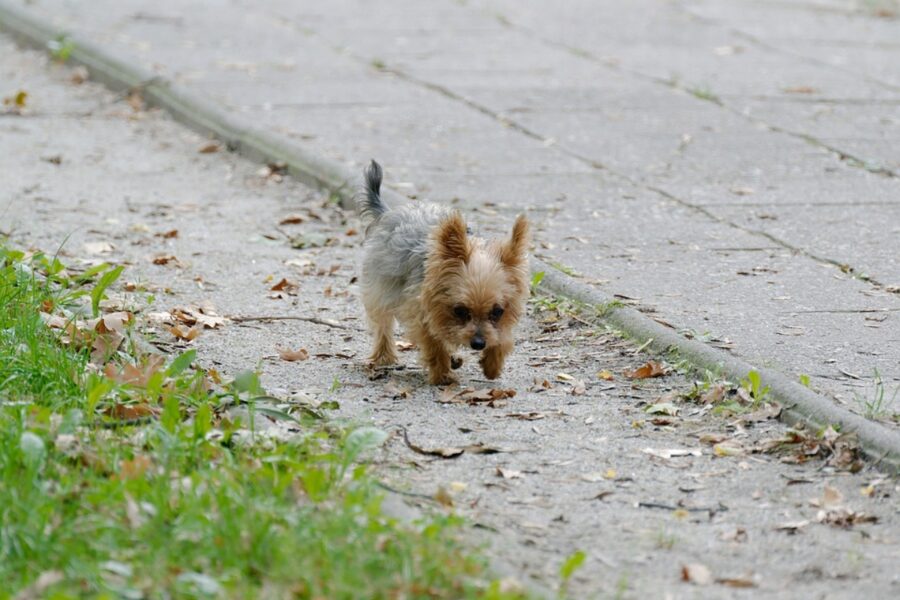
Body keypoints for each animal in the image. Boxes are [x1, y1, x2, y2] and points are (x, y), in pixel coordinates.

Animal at [356, 159, 528, 384]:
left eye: (497, 311)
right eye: (460, 310)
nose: (478, 343)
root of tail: (389, 212)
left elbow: (502, 337)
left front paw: (493, 363)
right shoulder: (420, 312)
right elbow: (434, 343)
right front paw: (443, 374)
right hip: (381, 289)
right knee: (383, 325)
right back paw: (384, 356)